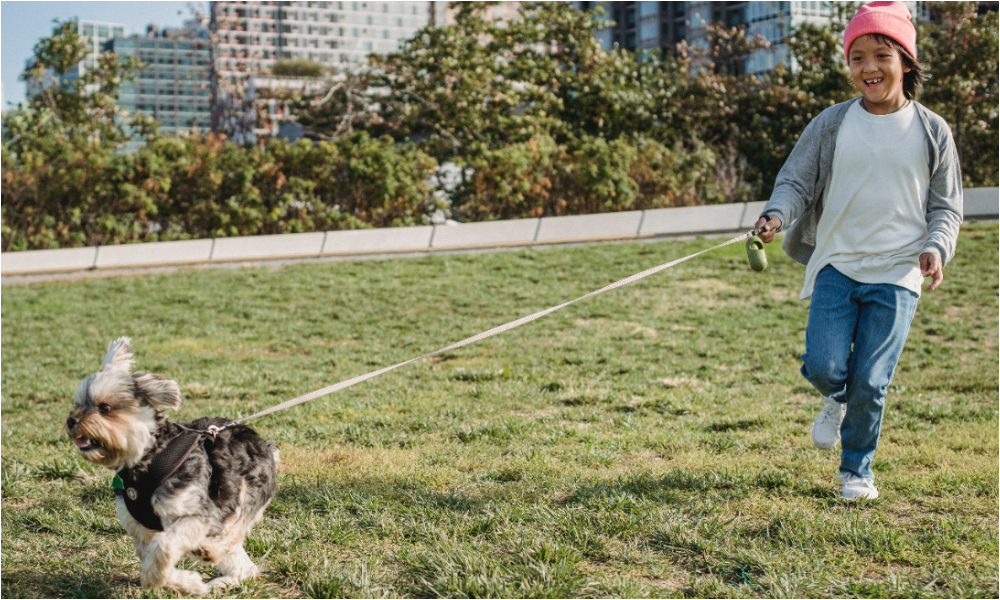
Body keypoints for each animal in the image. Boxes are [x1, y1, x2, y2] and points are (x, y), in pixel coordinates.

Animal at [67, 338, 280, 596]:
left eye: (105, 408)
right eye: (78, 404)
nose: (71, 421)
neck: (146, 459)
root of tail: (264, 443)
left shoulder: (194, 514)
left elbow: (164, 545)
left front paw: (160, 578)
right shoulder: (140, 530)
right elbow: (150, 558)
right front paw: (189, 583)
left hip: (243, 496)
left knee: (231, 534)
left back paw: (209, 550)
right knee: (246, 569)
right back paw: (221, 583)